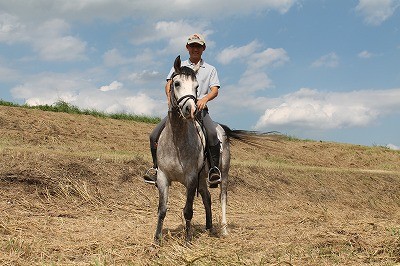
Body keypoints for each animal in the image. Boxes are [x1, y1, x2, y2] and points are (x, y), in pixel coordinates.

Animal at [153, 55, 256, 244]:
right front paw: (157, 240)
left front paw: (187, 240)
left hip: (222, 173)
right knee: (207, 197)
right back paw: (209, 227)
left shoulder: (191, 178)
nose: (191, 109)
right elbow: (162, 209)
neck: (177, 140)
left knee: (222, 198)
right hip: (202, 178)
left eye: (196, 87)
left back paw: (223, 229)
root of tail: (222, 129)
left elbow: (188, 210)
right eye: (176, 83)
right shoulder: (163, 177)